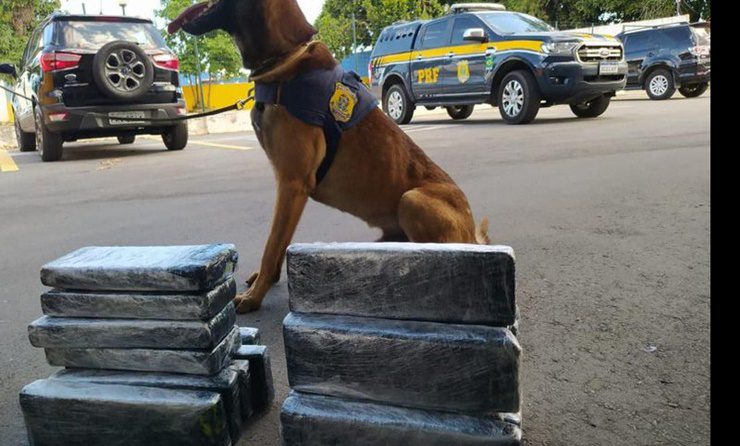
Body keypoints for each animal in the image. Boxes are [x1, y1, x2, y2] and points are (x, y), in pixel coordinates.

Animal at [170, 0, 488, 314]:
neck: (285, 56)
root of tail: (473, 235)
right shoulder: (290, 187)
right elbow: (279, 243)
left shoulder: (292, 183)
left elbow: (272, 245)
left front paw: (255, 295)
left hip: (412, 199)